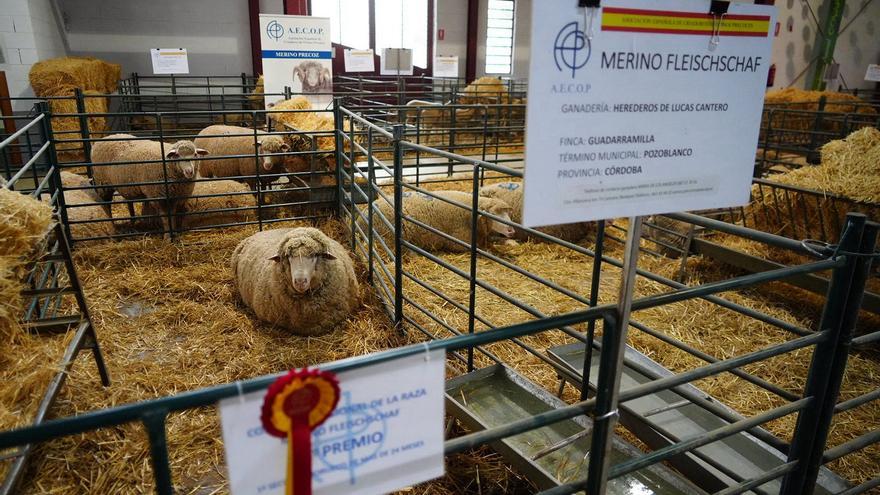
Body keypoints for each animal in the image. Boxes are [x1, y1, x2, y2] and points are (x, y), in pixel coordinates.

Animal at [372, 189, 516, 254]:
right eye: (492, 215)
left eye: (508, 214)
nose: (511, 230)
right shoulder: (459, 242)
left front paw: (510, 242)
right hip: (391, 236)